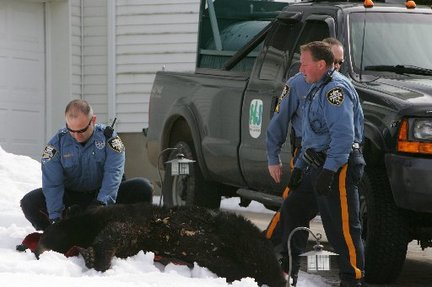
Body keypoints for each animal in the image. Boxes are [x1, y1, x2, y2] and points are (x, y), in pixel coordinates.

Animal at [35, 204, 286, 286]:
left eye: (47, 235)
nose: (37, 250)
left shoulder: (129, 221)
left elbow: (115, 233)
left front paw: (95, 259)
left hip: (238, 232)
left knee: (261, 258)